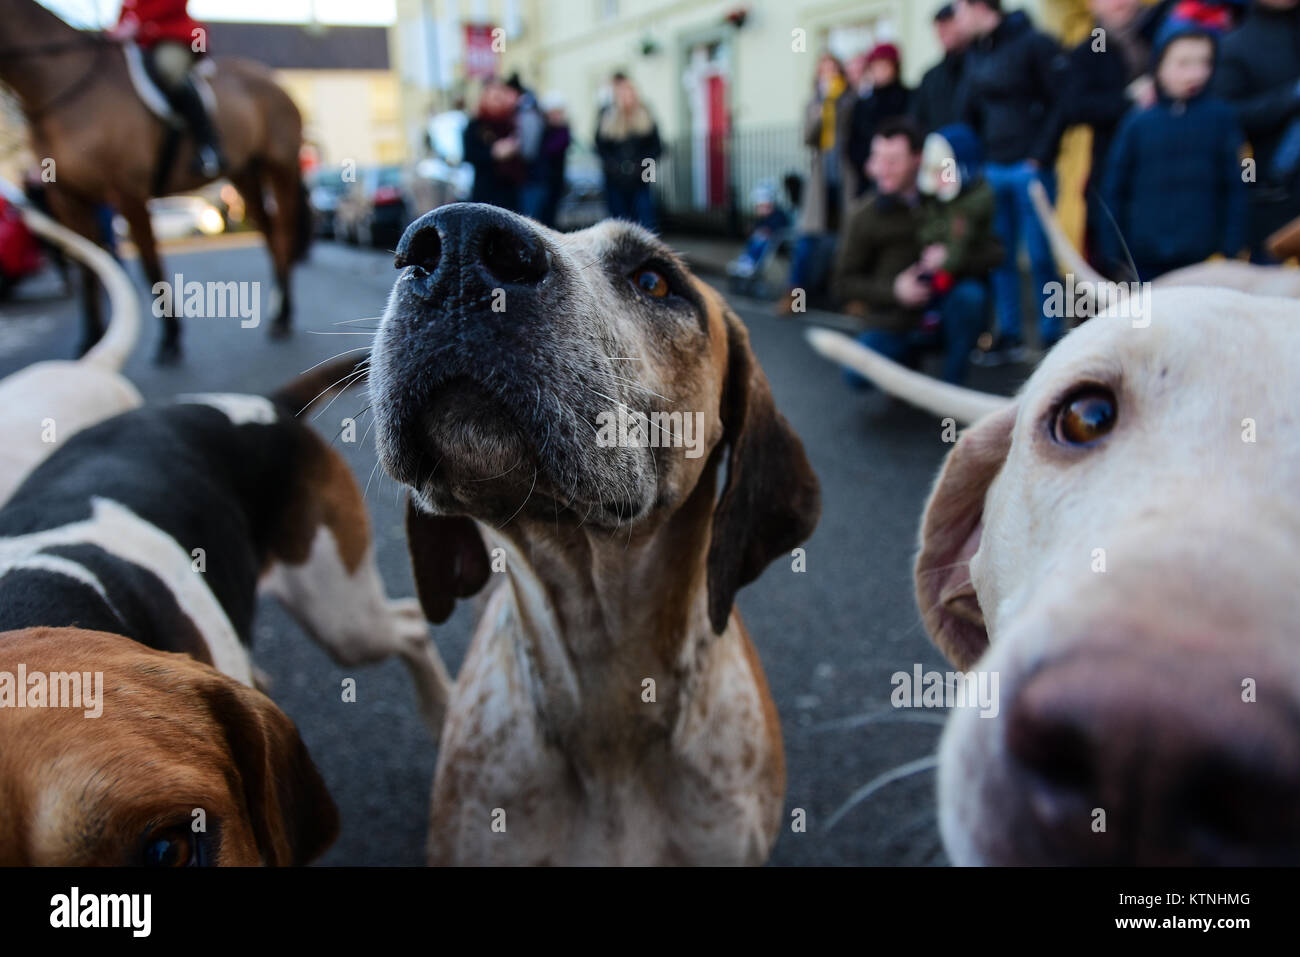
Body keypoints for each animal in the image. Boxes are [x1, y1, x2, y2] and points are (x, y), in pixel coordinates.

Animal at [0, 0, 309, 361]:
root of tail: (273, 80)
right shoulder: (67, 196)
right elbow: (89, 267)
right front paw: (90, 340)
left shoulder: (127, 191)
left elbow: (149, 265)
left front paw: (170, 339)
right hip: (244, 173)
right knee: (271, 235)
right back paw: (279, 314)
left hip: (280, 166)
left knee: (284, 233)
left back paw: (283, 316)